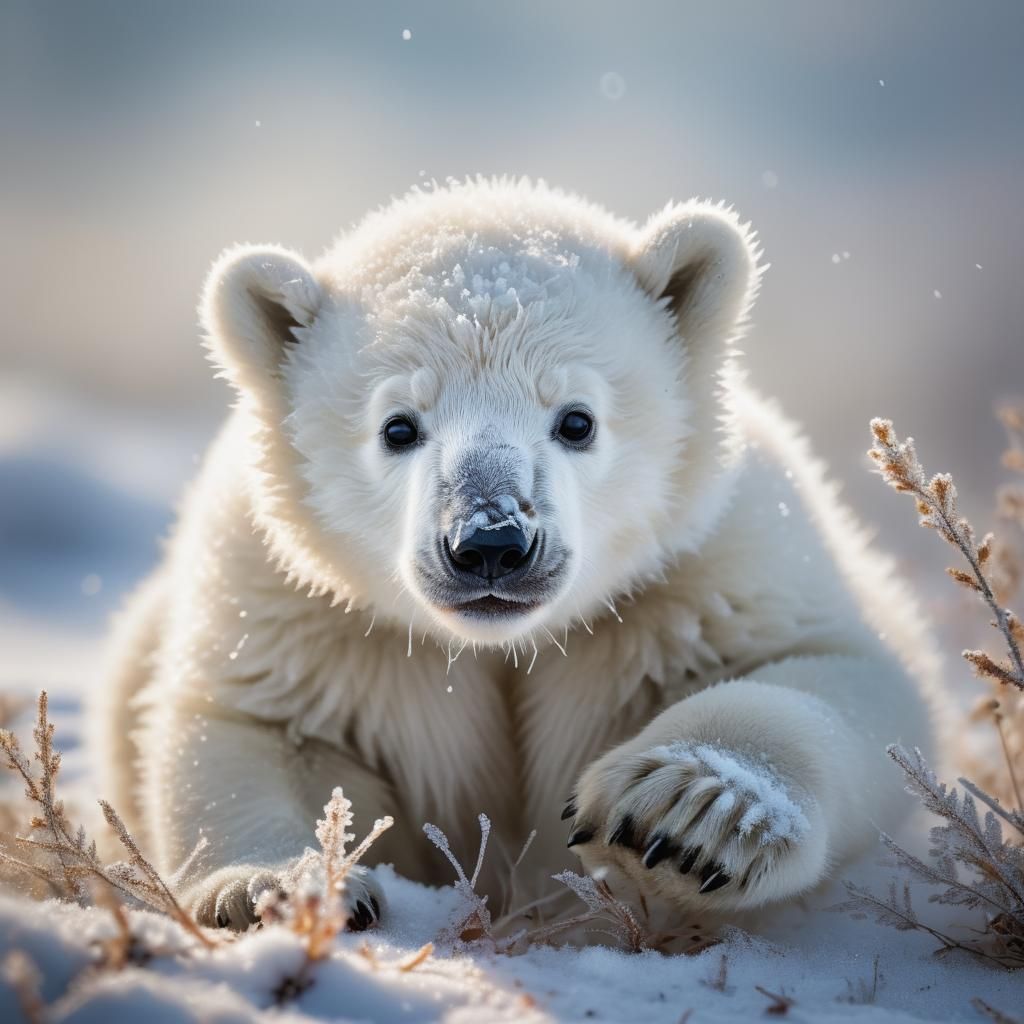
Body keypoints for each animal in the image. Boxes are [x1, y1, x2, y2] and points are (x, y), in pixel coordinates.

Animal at [92, 177, 938, 932]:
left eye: (577, 420)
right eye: (398, 427)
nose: (491, 543)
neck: (499, 644)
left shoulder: (708, 563)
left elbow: (830, 671)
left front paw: (690, 808)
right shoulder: (296, 605)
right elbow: (258, 727)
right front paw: (271, 888)